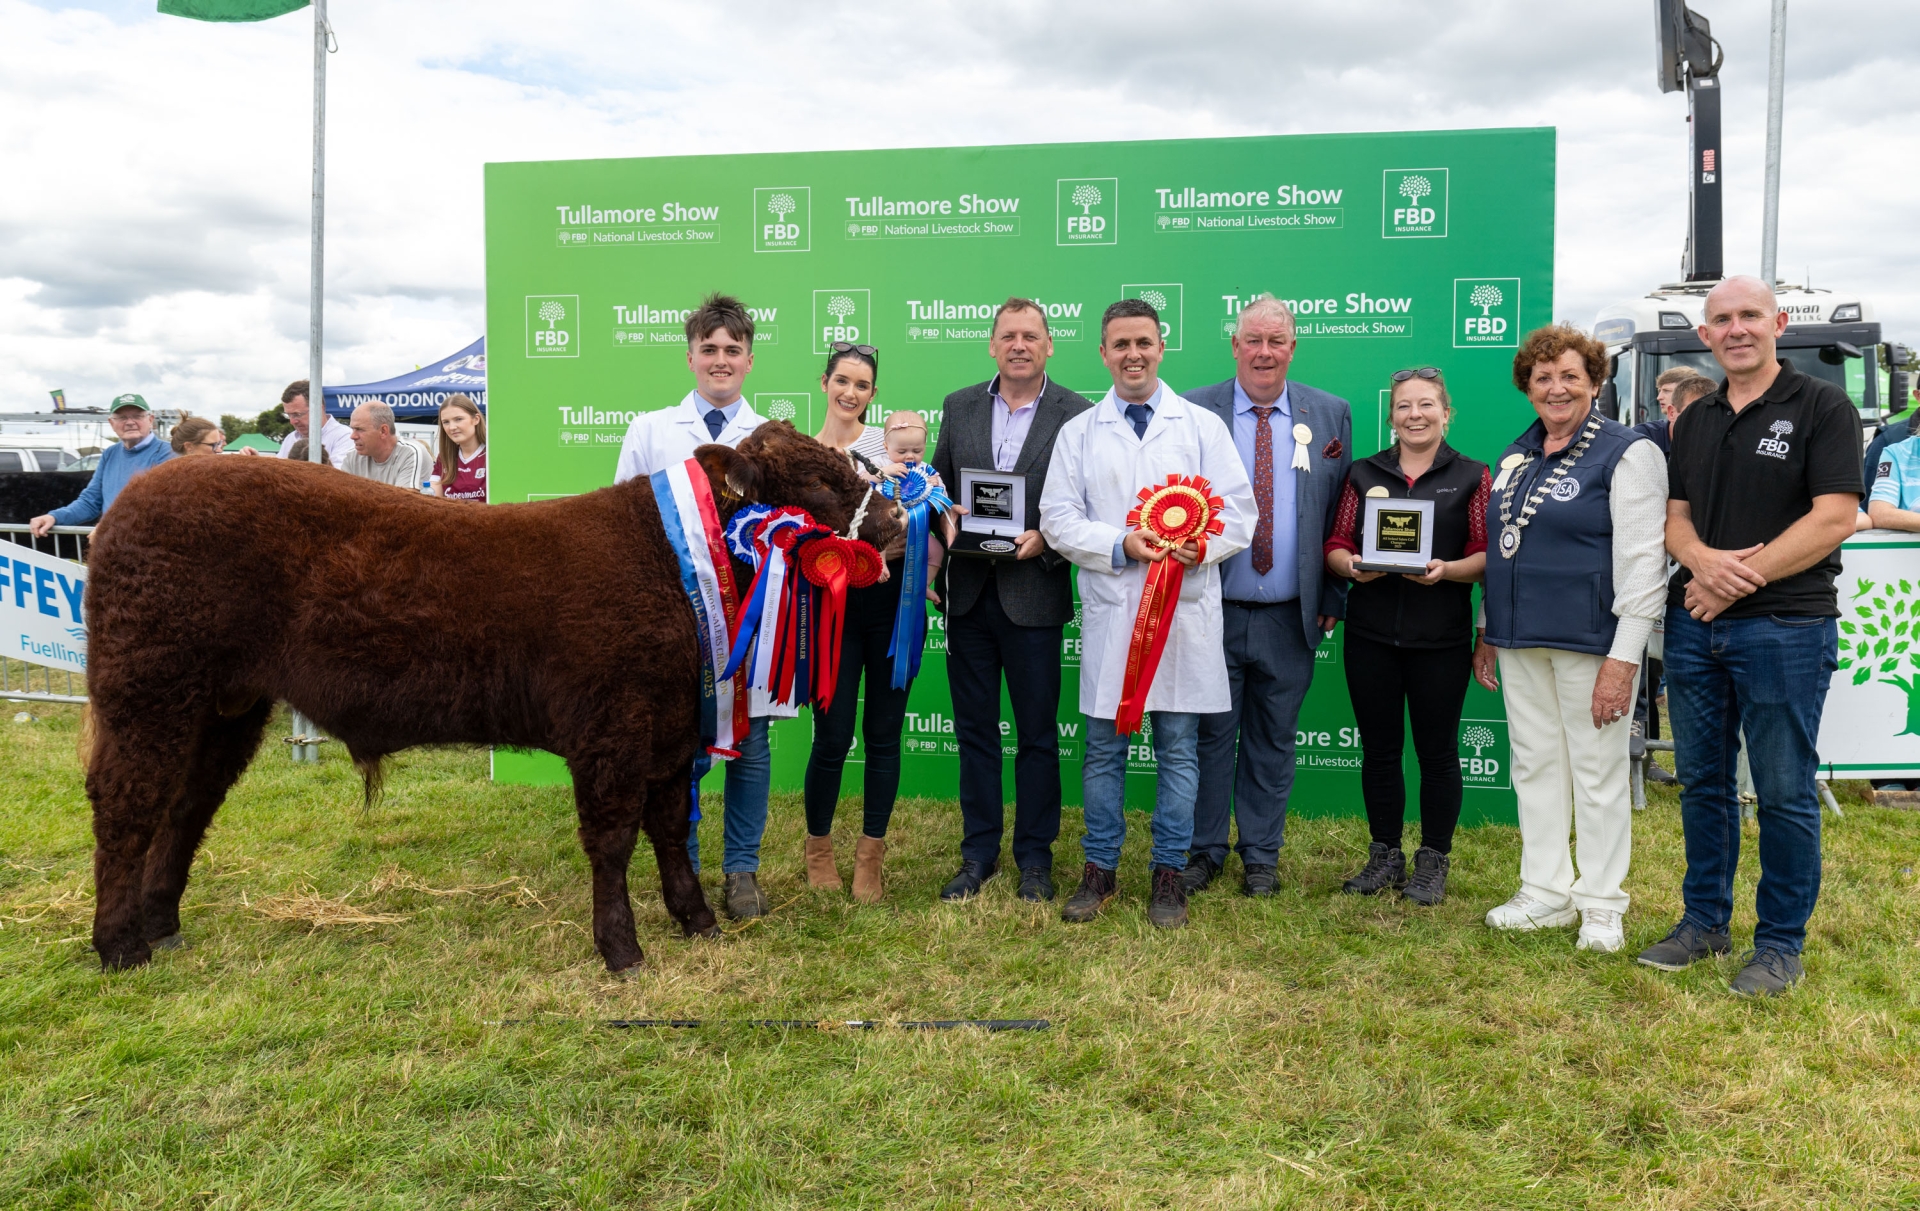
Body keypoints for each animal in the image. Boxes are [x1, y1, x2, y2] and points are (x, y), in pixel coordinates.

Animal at [80, 421, 899, 974]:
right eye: (818, 483)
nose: (895, 523)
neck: (671, 557)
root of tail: (131, 499)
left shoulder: (670, 728)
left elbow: (669, 828)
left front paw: (696, 918)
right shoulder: (611, 730)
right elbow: (612, 839)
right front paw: (621, 947)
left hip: (226, 705)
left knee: (186, 805)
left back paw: (161, 923)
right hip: (148, 688)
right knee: (127, 801)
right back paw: (119, 944)